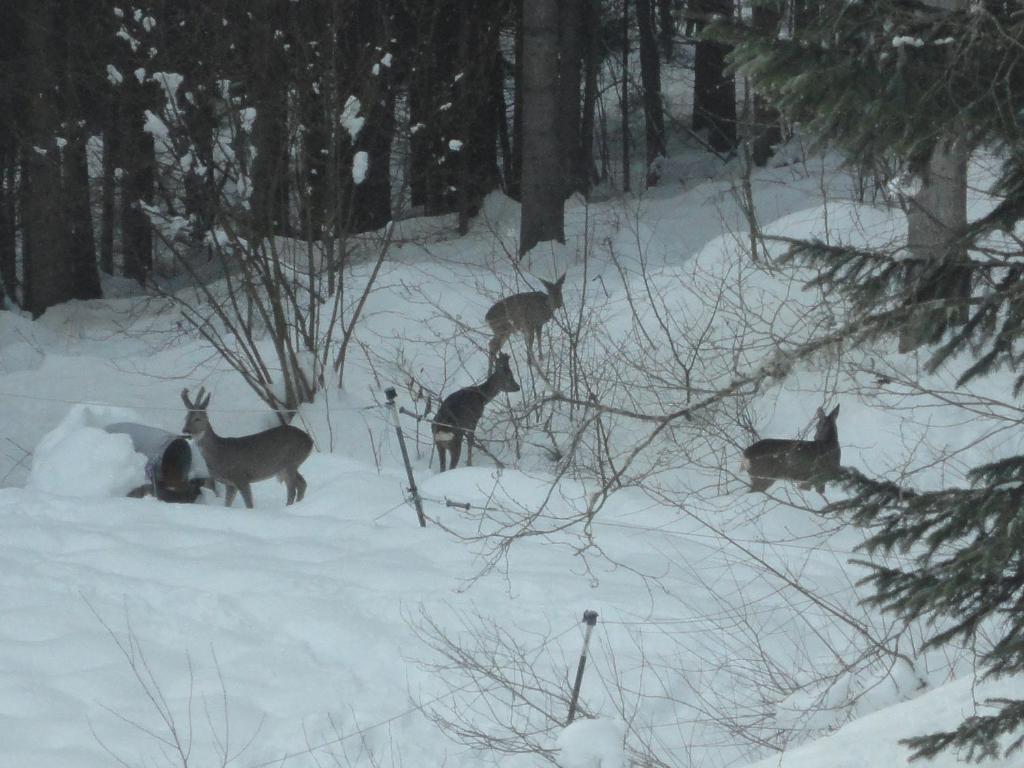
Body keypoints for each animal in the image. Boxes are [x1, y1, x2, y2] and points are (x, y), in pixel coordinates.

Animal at [180, 387, 313, 507]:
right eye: (185, 418)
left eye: (198, 418)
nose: (185, 430)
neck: (219, 452)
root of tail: (310, 441)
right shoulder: (230, 483)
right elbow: (227, 504)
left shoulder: (241, 477)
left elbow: (249, 504)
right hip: (288, 466)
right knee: (302, 484)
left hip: (290, 462)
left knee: (293, 490)